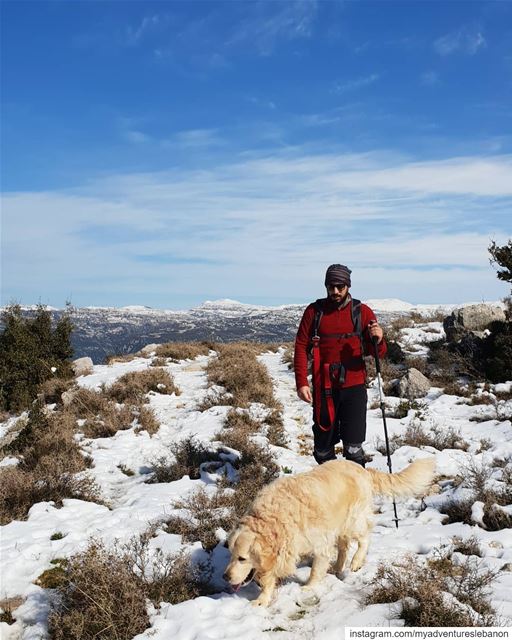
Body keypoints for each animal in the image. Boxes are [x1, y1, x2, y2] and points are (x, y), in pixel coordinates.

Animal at [222, 458, 434, 604]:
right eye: (231, 555)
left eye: (242, 558)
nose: (225, 577)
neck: (273, 518)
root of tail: (362, 469)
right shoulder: (283, 551)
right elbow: (268, 579)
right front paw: (262, 600)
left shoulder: (320, 544)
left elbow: (315, 570)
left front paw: (308, 588)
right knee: (344, 547)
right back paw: (338, 567)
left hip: (353, 520)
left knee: (364, 538)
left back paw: (356, 562)